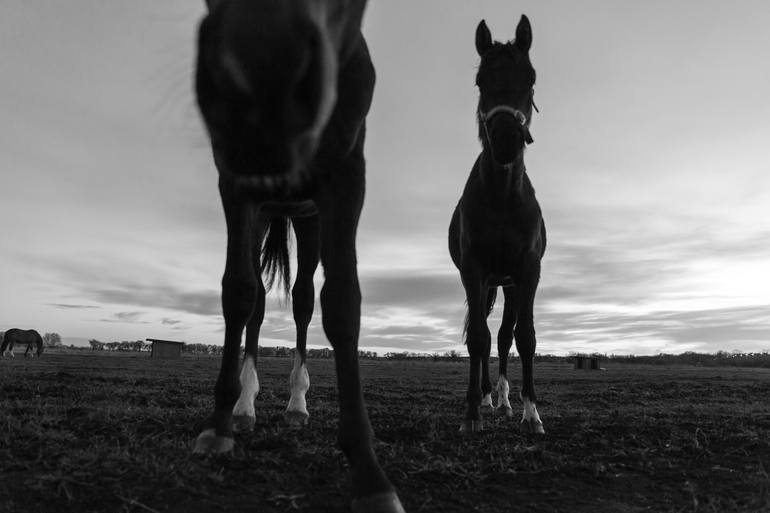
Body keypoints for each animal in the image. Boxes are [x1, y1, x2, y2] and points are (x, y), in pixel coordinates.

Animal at [191, 2, 402, 510]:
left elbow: (343, 303)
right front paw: (219, 422)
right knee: (256, 303)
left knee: (305, 300)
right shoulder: (236, 185)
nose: (262, 60)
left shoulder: (345, 179)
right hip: (268, 213)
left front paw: (368, 471)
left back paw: (296, 405)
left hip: (309, 222)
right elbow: (238, 293)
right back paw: (245, 407)